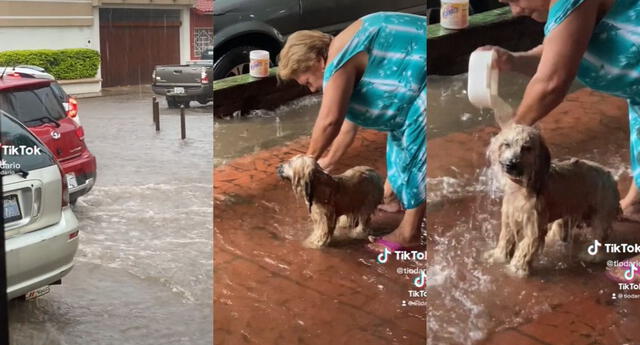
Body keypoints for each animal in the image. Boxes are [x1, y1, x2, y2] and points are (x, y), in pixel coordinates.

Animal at [484, 125, 620, 276]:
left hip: (602, 214)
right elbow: (505, 239)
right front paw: (498, 257)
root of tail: (609, 175)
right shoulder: (509, 218)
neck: (521, 187)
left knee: (599, 237)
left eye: (527, 148)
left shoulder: (534, 225)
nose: (510, 164)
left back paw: (591, 256)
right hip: (567, 216)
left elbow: (525, 248)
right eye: (506, 144)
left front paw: (516, 269)